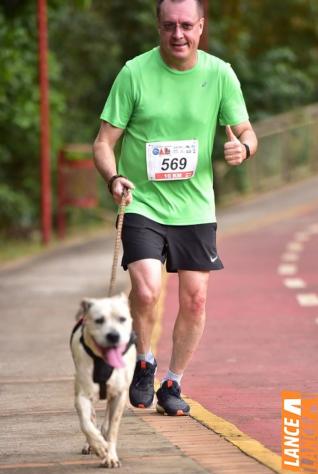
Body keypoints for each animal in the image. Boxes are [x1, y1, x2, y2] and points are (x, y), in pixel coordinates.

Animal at [70, 294, 136, 468]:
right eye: (99, 320)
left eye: (122, 319)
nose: (113, 336)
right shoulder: (82, 396)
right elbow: (86, 424)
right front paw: (99, 446)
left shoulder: (119, 395)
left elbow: (113, 428)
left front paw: (111, 456)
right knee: (91, 418)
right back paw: (91, 444)